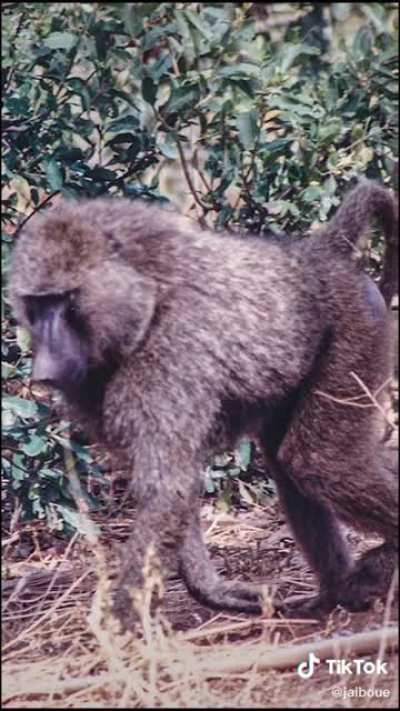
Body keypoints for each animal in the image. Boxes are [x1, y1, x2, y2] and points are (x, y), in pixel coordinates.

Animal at [9, 178, 398, 628]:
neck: (146, 299)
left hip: (359, 326)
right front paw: (211, 590)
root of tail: (321, 250)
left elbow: (167, 490)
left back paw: (376, 567)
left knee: (319, 462)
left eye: (67, 300)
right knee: (291, 463)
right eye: (36, 304)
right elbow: (171, 483)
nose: (46, 367)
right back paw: (338, 592)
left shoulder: (165, 358)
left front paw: (119, 628)